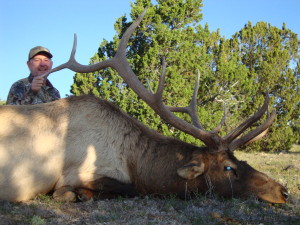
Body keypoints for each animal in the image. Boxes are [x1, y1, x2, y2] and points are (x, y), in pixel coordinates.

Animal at [0, 9, 288, 204]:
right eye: (229, 168)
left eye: (241, 160)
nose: (283, 191)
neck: (136, 164)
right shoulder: (75, 174)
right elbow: (128, 189)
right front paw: (80, 194)